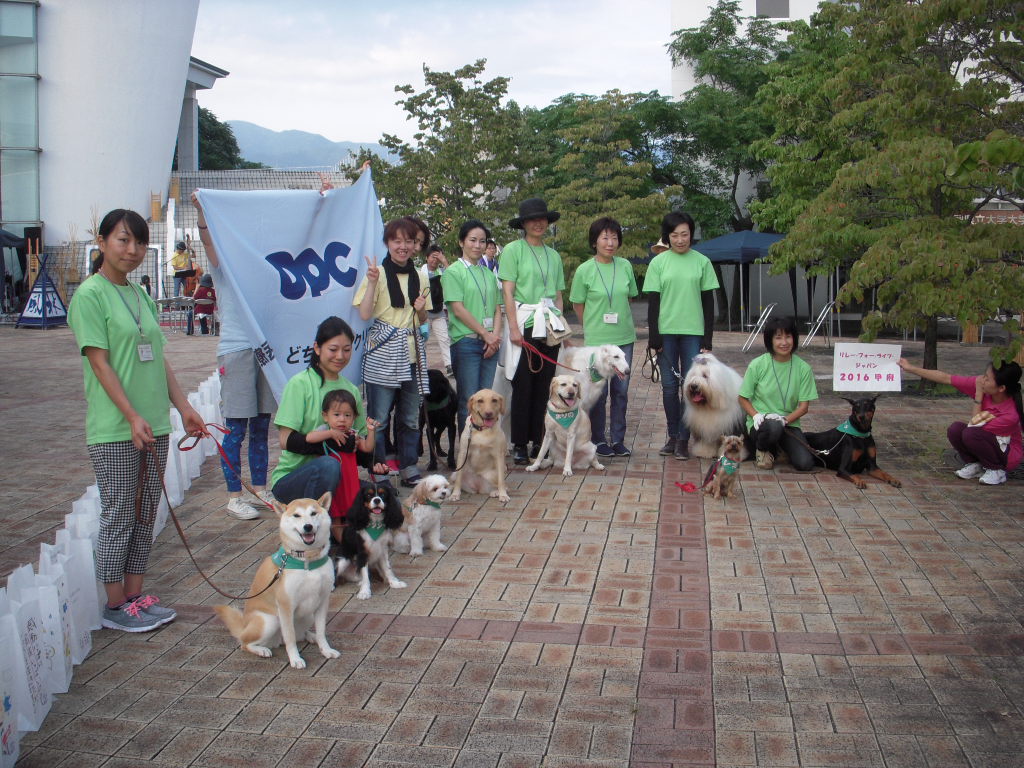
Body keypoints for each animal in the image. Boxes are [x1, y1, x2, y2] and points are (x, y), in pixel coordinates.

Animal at [211, 495, 339, 671]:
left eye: (313, 513)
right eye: (296, 515)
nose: (308, 526)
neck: (307, 561)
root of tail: (244, 625)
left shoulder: (322, 601)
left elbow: (321, 632)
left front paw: (325, 649)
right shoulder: (286, 605)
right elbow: (290, 638)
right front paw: (295, 659)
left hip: (307, 616)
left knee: (300, 634)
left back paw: (310, 636)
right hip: (270, 621)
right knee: (246, 643)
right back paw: (262, 650)